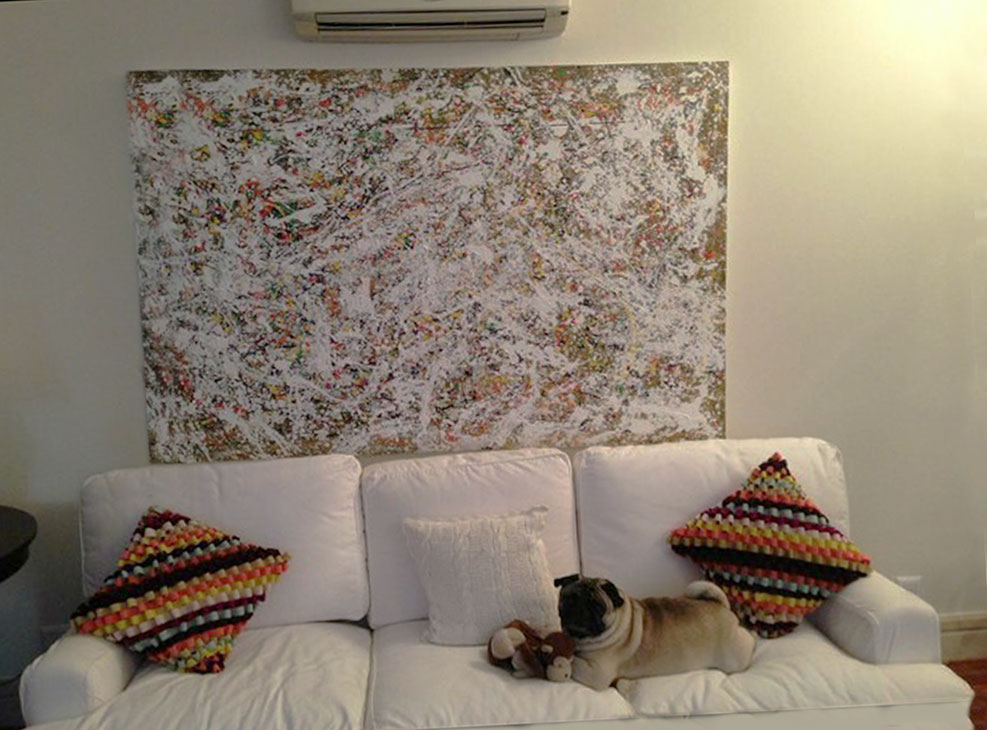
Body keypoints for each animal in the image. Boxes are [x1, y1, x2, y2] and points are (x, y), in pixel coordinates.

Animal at [555, 575, 755, 691]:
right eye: (569, 599)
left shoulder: (597, 673)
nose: (579, 610)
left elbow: (575, 662)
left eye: (597, 606)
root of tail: (720, 605)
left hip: (733, 658)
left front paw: (562, 661)